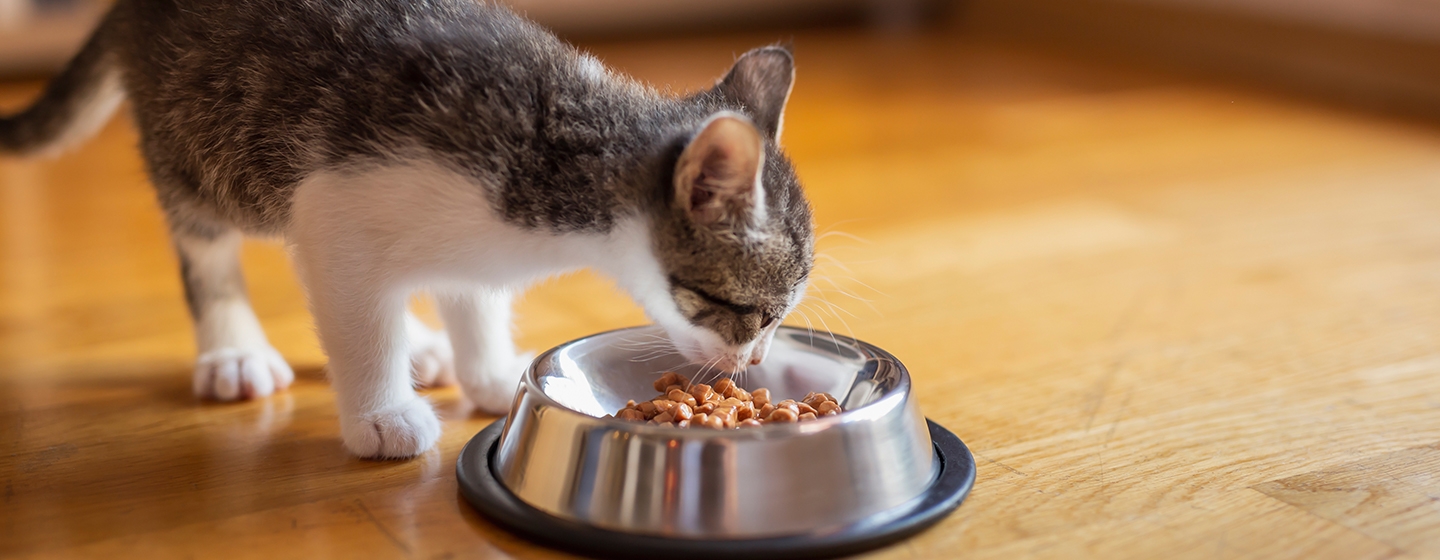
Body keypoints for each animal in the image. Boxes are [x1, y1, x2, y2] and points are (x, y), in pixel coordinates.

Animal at [0, 0, 812, 457]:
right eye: (753, 312)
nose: (754, 362)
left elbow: (469, 292)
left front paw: (488, 370)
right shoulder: (336, 202)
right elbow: (356, 314)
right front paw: (381, 415)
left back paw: (421, 344)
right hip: (202, 140)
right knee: (207, 243)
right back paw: (235, 350)